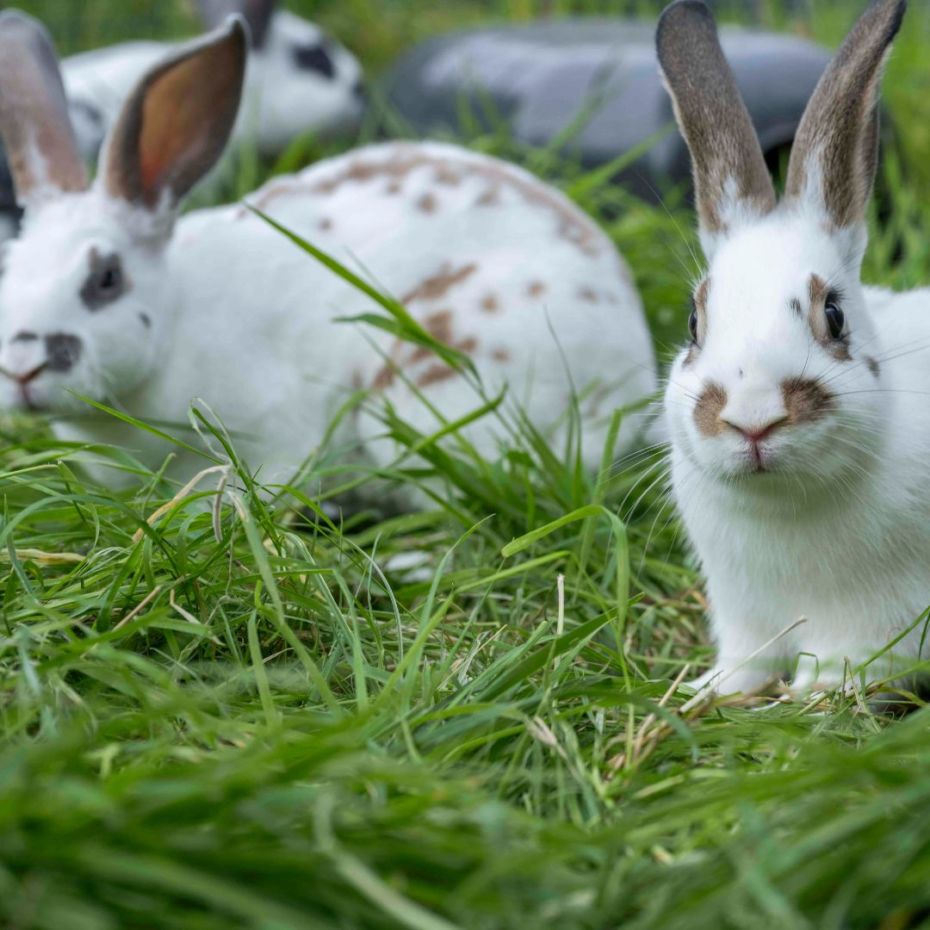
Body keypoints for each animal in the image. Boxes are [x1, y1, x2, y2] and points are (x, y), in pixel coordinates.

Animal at [656, 0, 930, 695]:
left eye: (834, 315)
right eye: (693, 323)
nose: (752, 421)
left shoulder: (877, 620)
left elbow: (846, 664)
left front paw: (816, 693)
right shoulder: (744, 618)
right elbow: (744, 664)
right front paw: (713, 690)